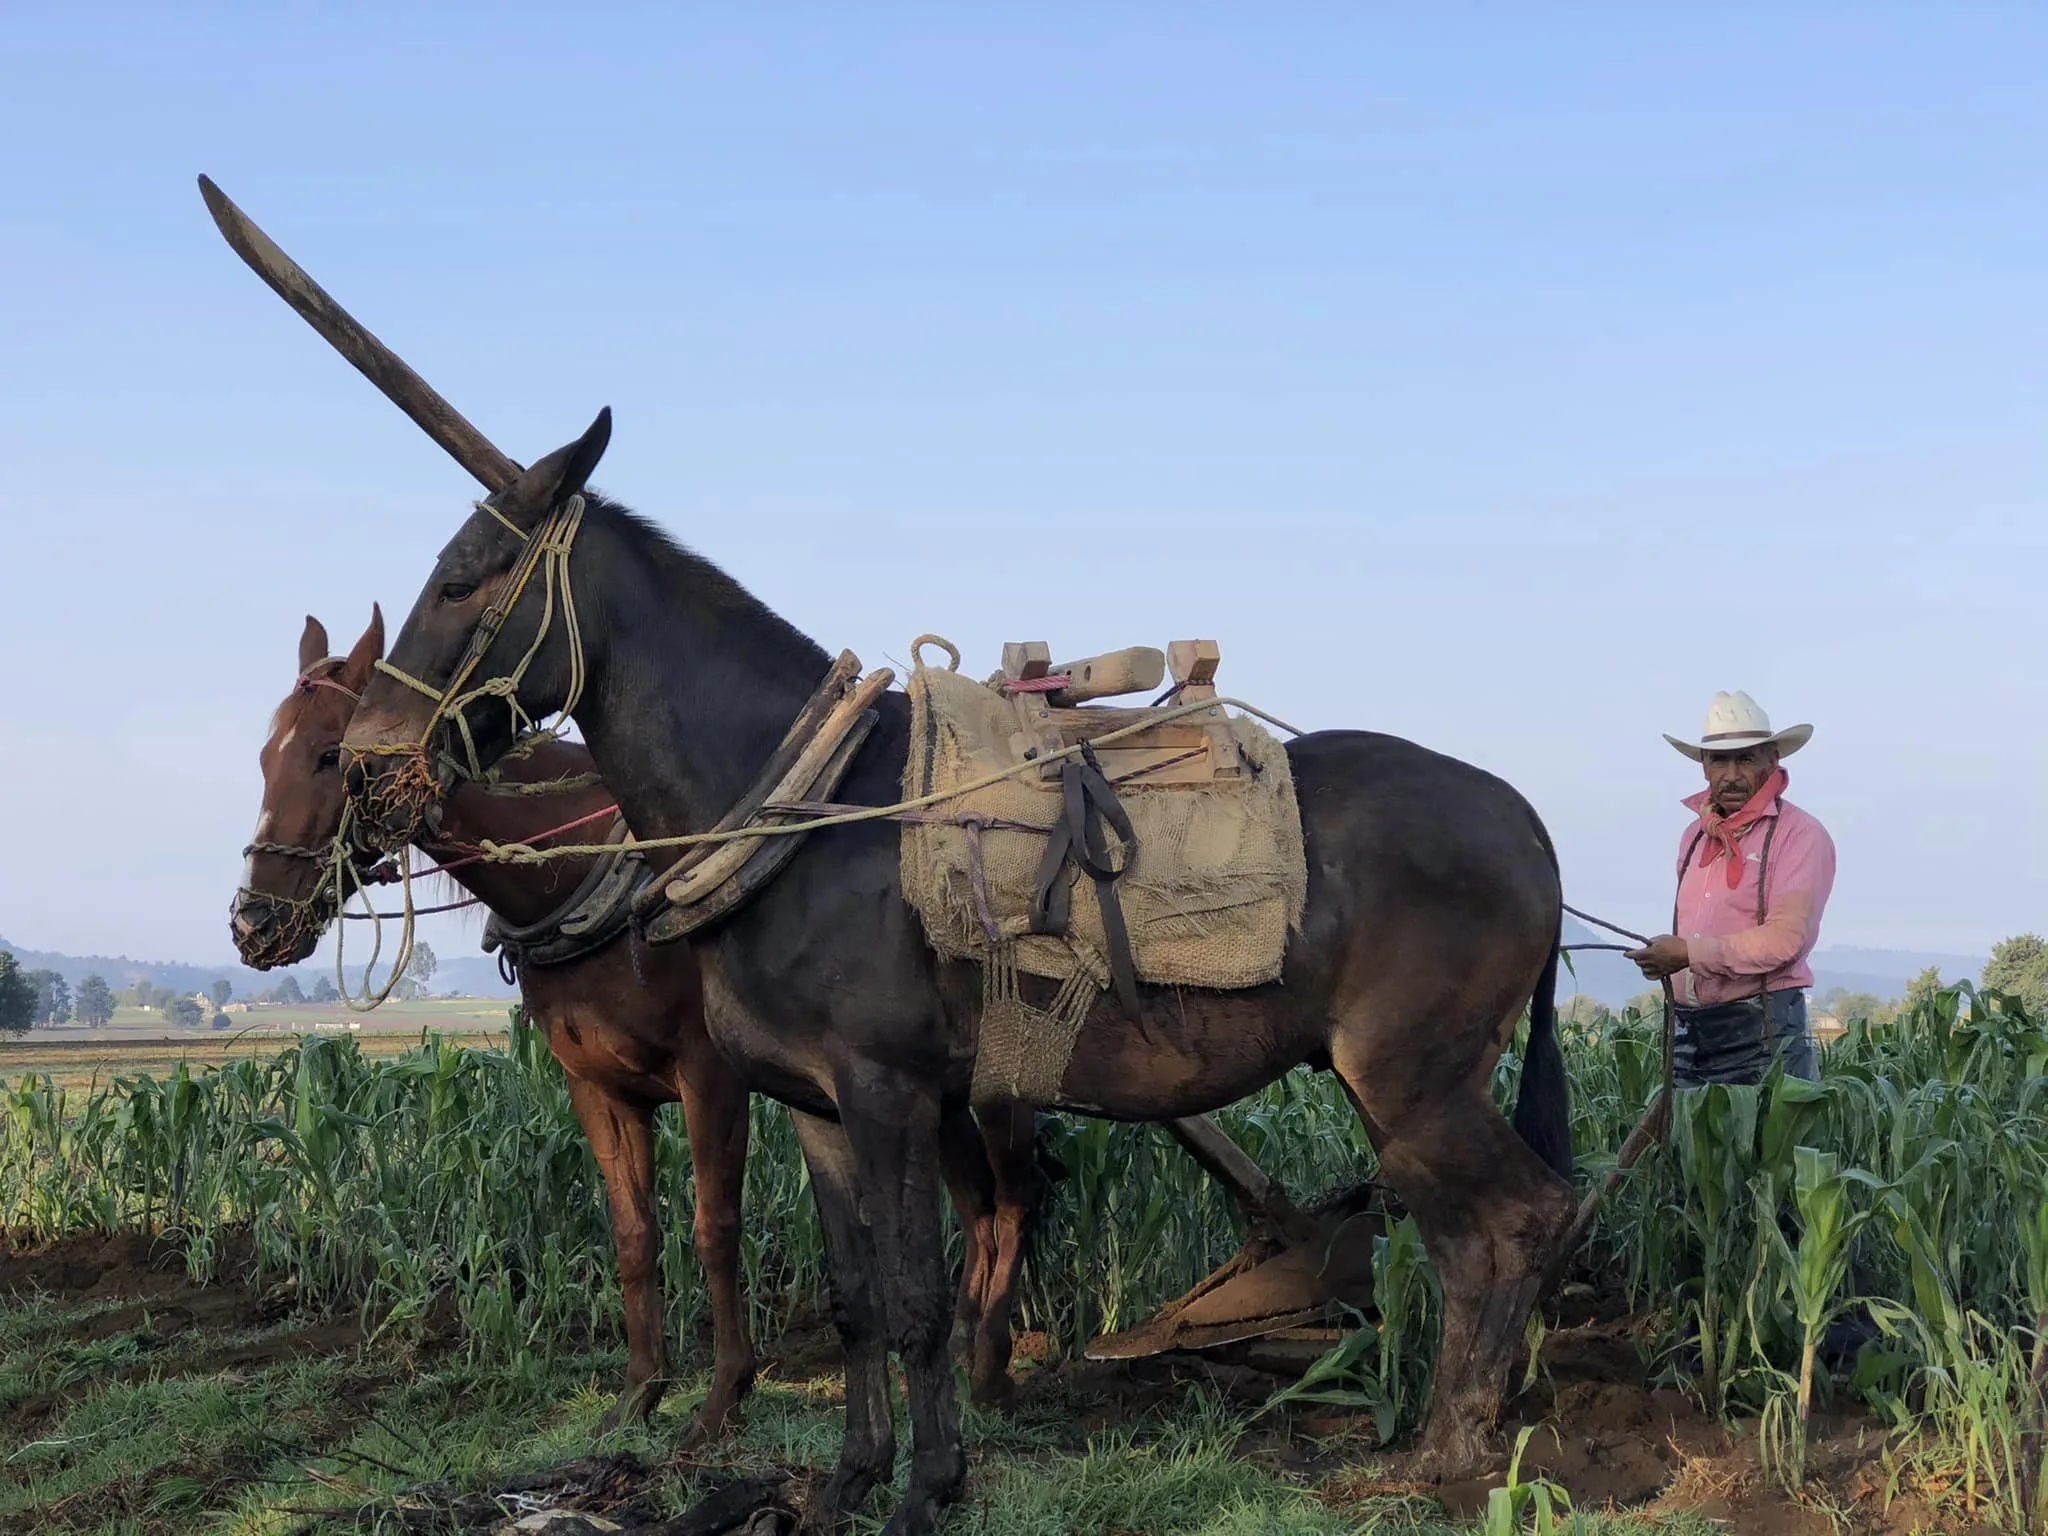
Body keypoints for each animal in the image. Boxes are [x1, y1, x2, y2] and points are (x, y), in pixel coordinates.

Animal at [232, 610, 1048, 1441]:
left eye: (330, 756)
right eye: (266, 757)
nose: (252, 923)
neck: (581, 880)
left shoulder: (711, 1078)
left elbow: (714, 1227)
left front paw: (726, 1392)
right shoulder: (596, 1088)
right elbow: (633, 1235)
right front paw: (640, 1390)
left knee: (1015, 1200)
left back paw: (990, 1365)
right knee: (978, 1203)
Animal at [339, 411, 1564, 1536]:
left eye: (460, 582)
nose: (362, 758)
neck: (801, 812)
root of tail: (1525, 821)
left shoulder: (890, 1089)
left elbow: (917, 1297)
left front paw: (928, 1488)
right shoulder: (815, 1106)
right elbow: (853, 1302)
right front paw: (850, 1479)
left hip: (1416, 1082)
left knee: (1515, 1221)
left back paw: (1457, 1457)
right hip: (1398, 1088)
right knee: (1467, 1242)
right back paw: (1440, 1448)